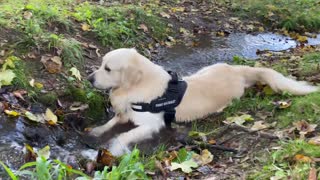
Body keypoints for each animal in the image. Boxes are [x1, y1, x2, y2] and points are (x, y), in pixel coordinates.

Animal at [87, 48, 318, 156]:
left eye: (108, 68)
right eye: (101, 64)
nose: (89, 78)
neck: (136, 87)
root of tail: (237, 70)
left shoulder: (150, 125)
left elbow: (123, 136)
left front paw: (114, 148)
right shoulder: (126, 113)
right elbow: (111, 122)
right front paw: (96, 131)